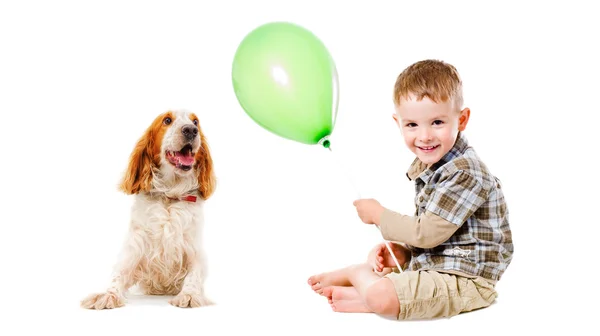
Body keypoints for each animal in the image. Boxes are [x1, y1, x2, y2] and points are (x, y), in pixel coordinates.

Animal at [81, 110, 217, 310]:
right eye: (167, 120)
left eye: (195, 122)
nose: (191, 130)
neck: (170, 196)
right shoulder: (134, 250)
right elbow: (117, 276)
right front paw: (107, 295)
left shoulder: (194, 251)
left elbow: (194, 275)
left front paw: (190, 295)